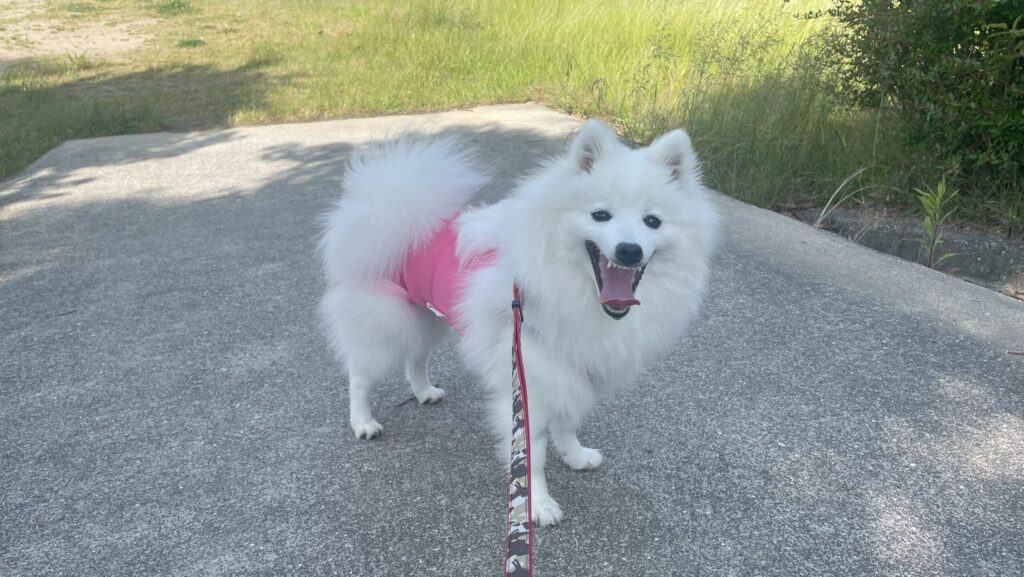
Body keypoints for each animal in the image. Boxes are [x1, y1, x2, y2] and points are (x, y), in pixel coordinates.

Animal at [319, 119, 720, 524]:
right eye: (600, 215)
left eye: (652, 221)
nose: (628, 250)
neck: (573, 291)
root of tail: (388, 212)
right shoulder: (530, 383)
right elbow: (531, 456)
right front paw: (537, 505)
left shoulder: (570, 371)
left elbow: (567, 424)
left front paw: (575, 456)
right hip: (386, 322)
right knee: (360, 375)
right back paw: (363, 422)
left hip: (426, 316)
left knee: (416, 357)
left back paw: (424, 391)